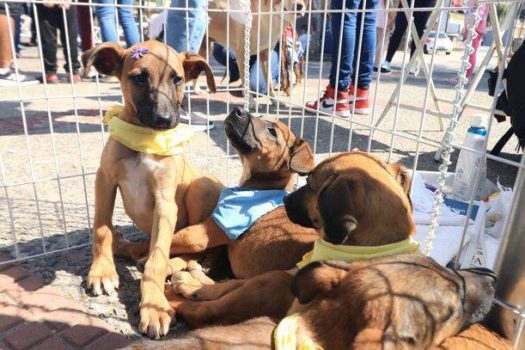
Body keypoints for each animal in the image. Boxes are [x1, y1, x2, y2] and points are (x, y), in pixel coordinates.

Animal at [83, 39, 221, 338]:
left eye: (177, 79)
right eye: (138, 78)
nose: (164, 119)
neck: (144, 140)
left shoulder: (165, 203)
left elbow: (158, 257)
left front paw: (154, 307)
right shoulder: (104, 180)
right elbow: (101, 228)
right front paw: (102, 271)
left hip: (201, 187)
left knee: (190, 249)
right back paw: (125, 245)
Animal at [172, 152, 418, 326]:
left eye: (309, 184)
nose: (285, 199)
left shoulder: (276, 284)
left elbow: (221, 299)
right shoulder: (287, 272)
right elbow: (228, 284)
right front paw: (196, 286)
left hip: (274, 283)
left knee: (211, 308)